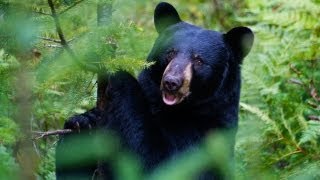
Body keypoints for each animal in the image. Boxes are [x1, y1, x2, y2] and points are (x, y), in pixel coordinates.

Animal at [56, 1, 254, 180]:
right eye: (170, 52)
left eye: (199, 60)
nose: (171, 82)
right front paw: (83, 121)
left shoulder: (204, 139)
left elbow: (154, 162)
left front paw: (119, 72)